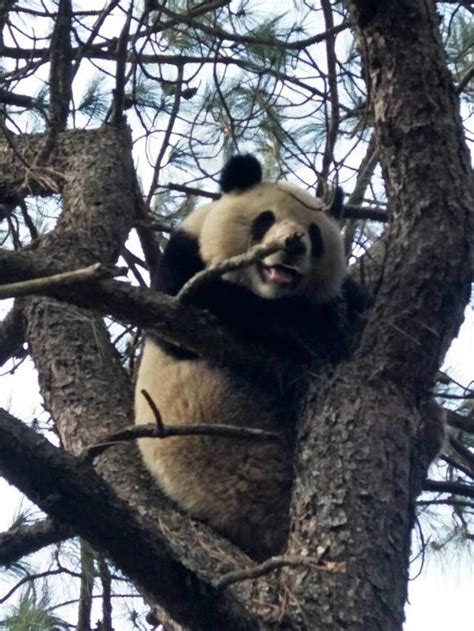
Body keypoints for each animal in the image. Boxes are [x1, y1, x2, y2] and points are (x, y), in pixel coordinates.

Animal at [135, 156, 350, 560]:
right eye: (265, 219)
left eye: (314, 232)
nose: (293, 244)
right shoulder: (184, 261)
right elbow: (202, 305)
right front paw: (309, 327)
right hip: (230, 455)